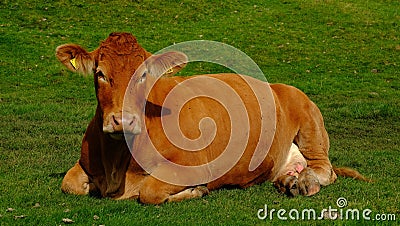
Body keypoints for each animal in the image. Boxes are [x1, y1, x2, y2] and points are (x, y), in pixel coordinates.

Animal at [56, 32, 368, 204]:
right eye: (100, 73)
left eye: (143, 74)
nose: (122, 121)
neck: (118, 163)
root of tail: (281, 86)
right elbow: (69, 185)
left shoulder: (193, 166)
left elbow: (149, 191)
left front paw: (197, 191)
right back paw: (288, 181)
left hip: (309, 123)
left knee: (325, 169)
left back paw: (304, 182)